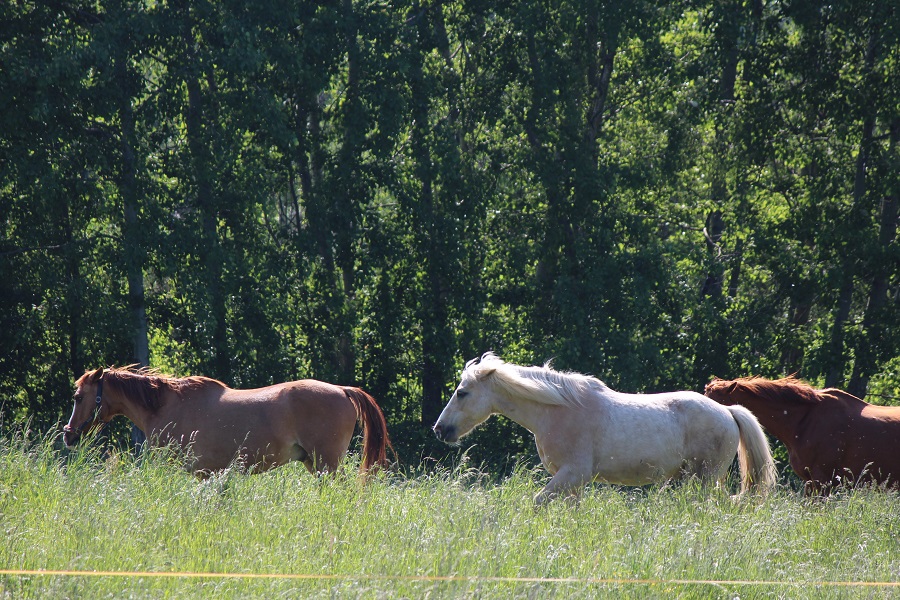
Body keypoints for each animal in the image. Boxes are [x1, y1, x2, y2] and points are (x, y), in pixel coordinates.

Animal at [59, 368, 390, 476]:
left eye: (77, 397)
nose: (68, 434)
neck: (165, 406)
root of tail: (343, 390)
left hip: (326, 463)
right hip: (314, 463)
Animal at [432, 354, 776, 504]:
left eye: (462, 392)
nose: (440, 429)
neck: (559, 411)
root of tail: (728, 412)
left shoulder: (572, 474)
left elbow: (537, 501)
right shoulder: (572, 482)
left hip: (704, 478)